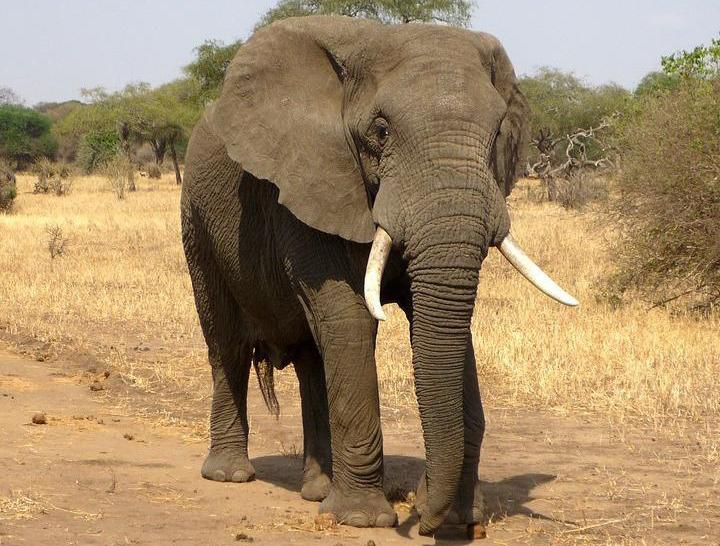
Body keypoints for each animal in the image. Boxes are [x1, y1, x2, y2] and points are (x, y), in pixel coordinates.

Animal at [180, 15, 578, 536]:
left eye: (497, 134)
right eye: (382, 130)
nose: (423, 517)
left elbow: (445, 327)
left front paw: (460, 517)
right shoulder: (313, 181)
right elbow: (351, 318)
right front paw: (363, 520)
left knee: (312, 357)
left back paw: (317, 491)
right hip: (197, 219)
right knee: (226, 342)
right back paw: (230, 475)